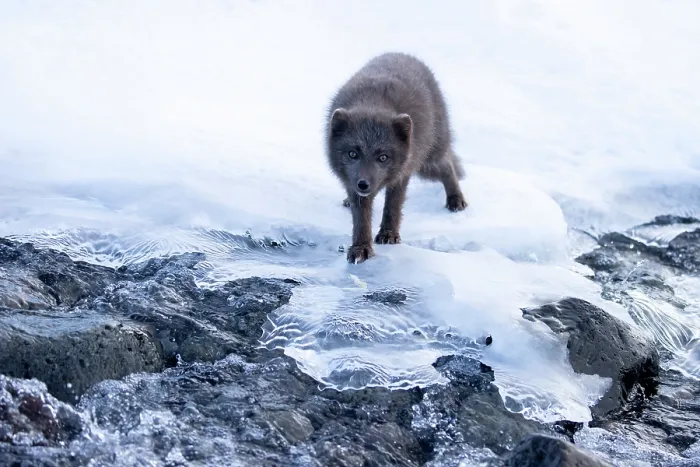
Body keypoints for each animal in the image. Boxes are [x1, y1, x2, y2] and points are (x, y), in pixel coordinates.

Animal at [325, 52, 468, 263]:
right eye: (352, 154)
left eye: (383, 157)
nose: (363, 184)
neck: (373, 103)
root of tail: (403, 54)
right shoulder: (352, 184)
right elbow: (361, 218)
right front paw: (361, 248)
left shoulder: (403, 173)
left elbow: (393, 205)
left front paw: (388, 235)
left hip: (429, 160)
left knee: (447, 166)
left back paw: (456, 200)